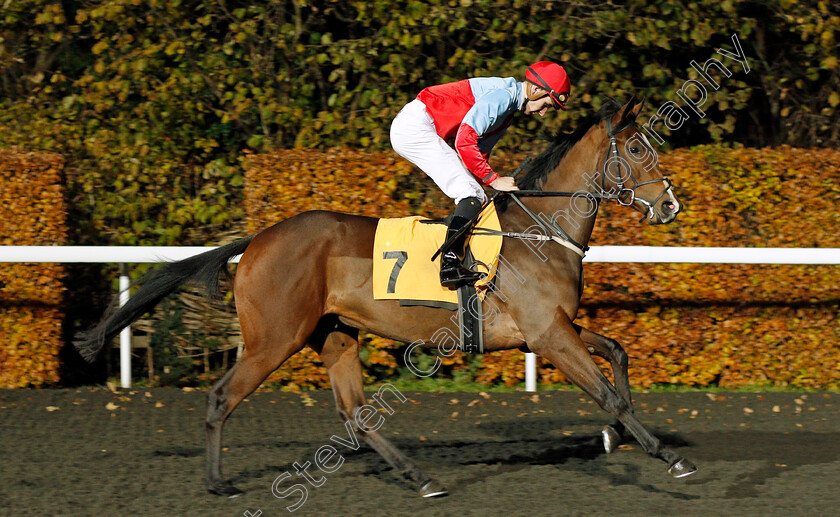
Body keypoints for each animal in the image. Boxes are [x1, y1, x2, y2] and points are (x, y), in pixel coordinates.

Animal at [77, 95, 696, 496]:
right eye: (636, 149)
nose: (670, 205)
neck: (539, 230)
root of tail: (258, 238)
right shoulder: (548, 335)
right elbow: (608, 394)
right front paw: (667, 457)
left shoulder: (550, 329)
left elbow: (617, 353)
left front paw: (622, 435)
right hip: (274, 338)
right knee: (221, 397)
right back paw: (216, 482)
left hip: (335, 334)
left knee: (355, 414)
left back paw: (420, 477)